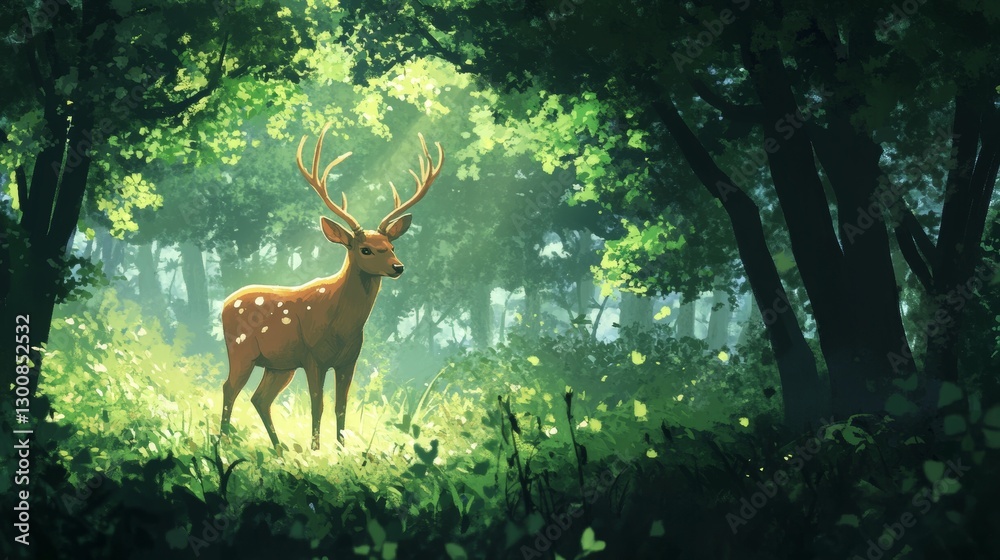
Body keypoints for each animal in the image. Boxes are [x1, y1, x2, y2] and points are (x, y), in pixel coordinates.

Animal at [219, 123, 443, 452]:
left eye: (391, 246)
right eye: (365, 249)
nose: (398, 267)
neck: (343, 324)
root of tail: (223, 305)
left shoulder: (349, 361)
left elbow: (341, 406)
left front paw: (341, 449)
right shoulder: (313, 357)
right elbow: (318, 405)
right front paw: (316, 450)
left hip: (279, 365)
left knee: (260, 399)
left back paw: (279, 449)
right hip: (241, 350)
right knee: (229, 389)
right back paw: (222, 443)